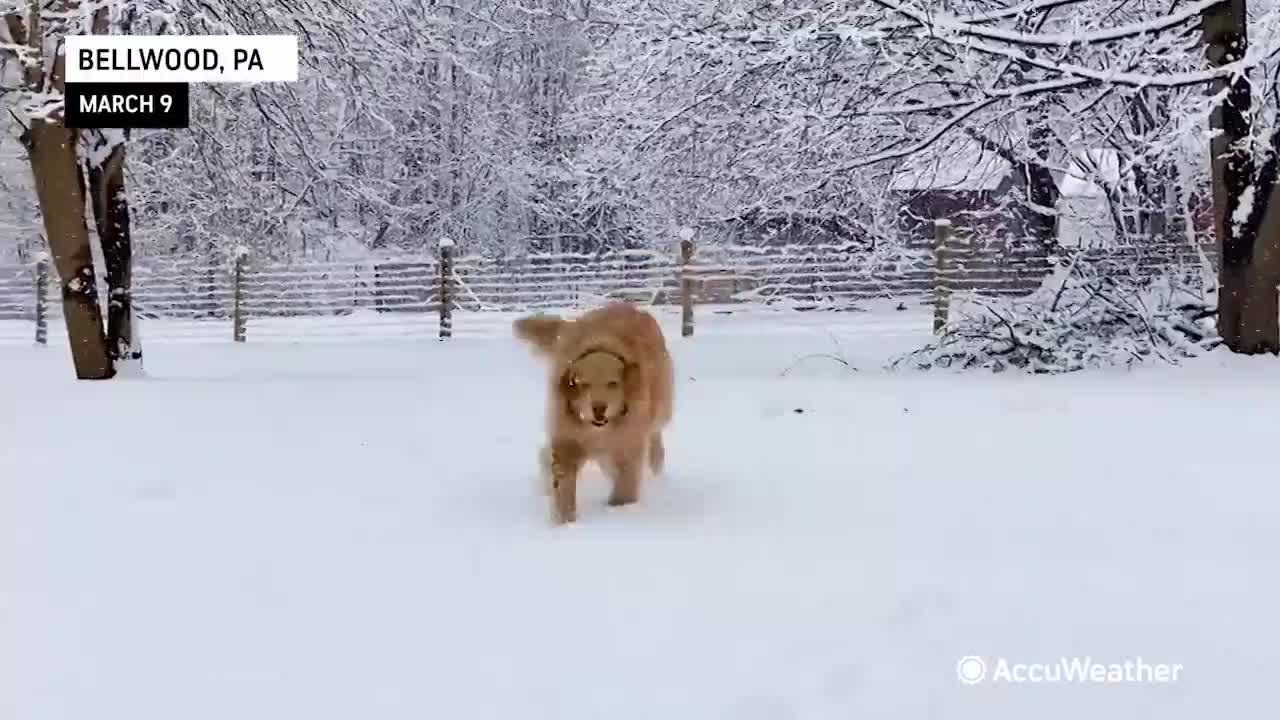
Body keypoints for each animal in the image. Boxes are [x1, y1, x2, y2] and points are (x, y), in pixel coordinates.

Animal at [512, 299, 675, 525]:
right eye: (583, 384)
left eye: (613, 383)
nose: (598, 408)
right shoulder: (567, 439)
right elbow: (563, 485)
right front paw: (564, 522)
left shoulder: (628, 442)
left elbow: (625, 483)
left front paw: (620, 508)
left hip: (660, 408)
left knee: (654, 433)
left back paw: (656, 462)